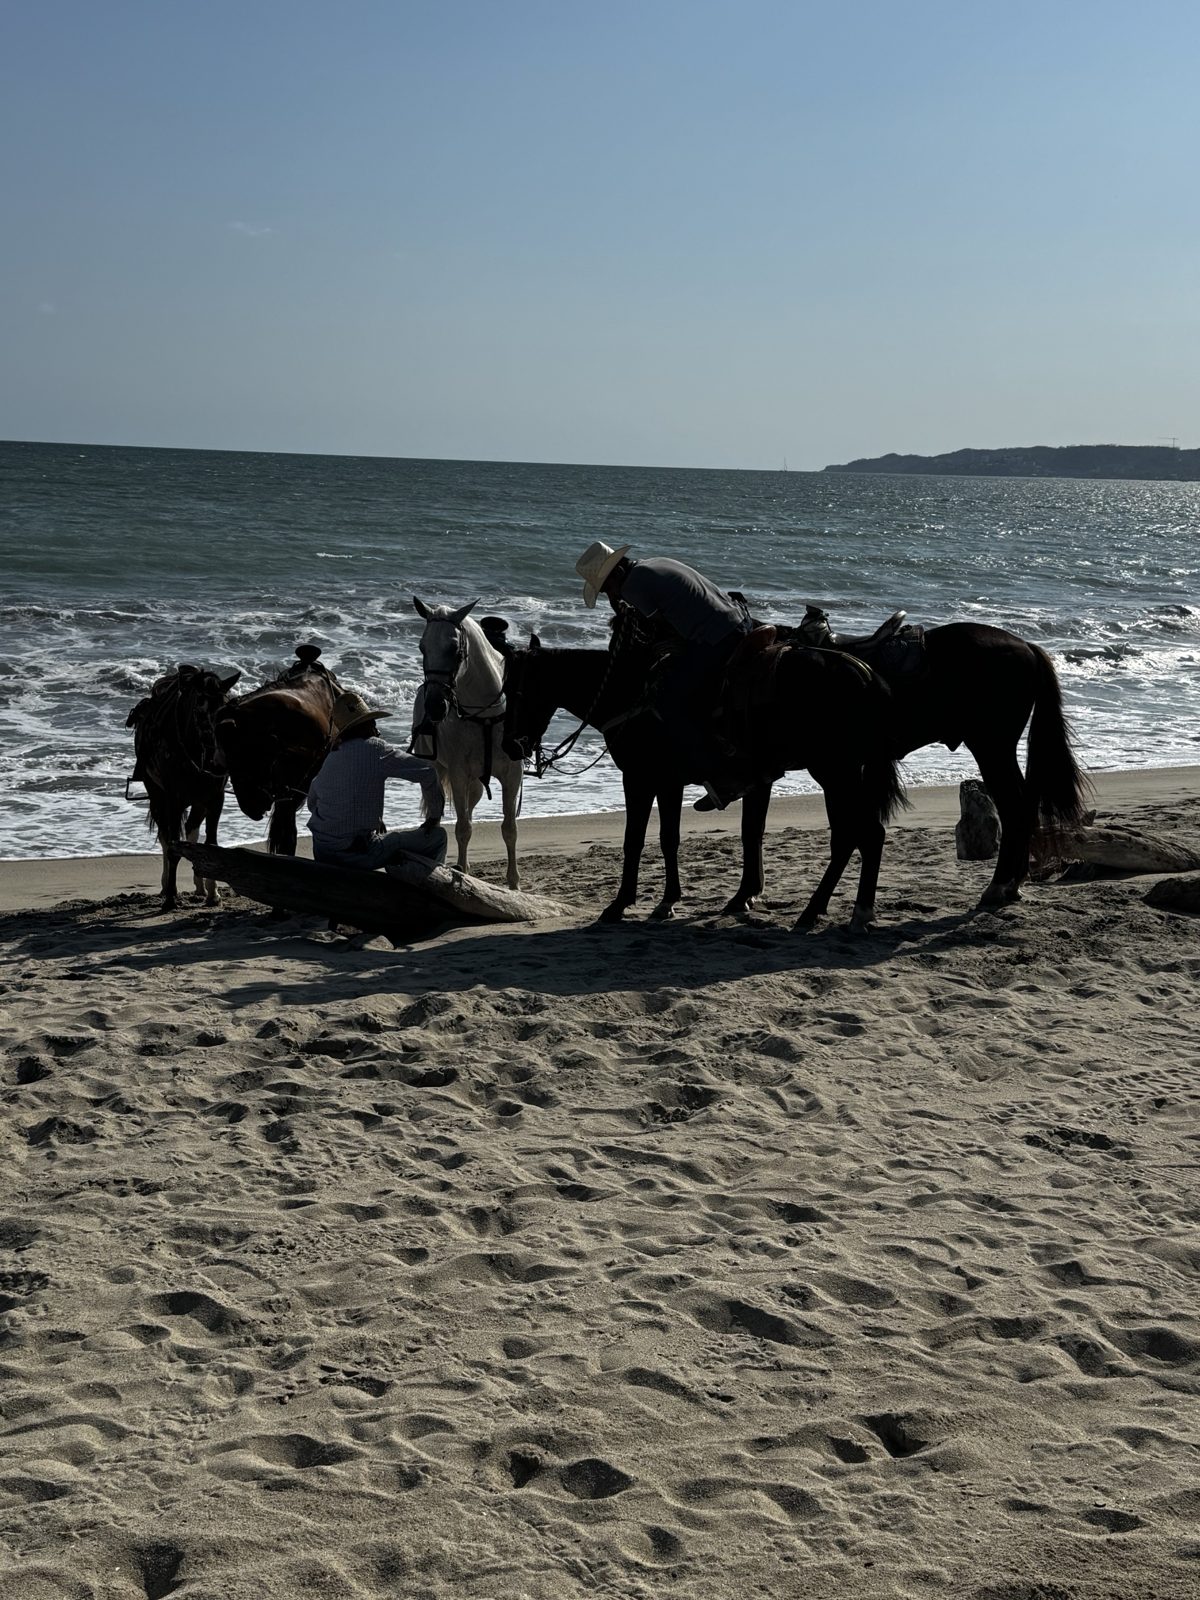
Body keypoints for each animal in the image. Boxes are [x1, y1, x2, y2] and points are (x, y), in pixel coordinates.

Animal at [126, 664, 241, 907]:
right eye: (199, 709)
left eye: (226, 707)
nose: (218, 762)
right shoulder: (173, 799)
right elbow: (172, 846)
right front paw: (170, 896)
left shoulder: (214, 798)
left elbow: (210, 844)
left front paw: (213, 893)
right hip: (158, 797)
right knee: (166, 838)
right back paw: (167, 886)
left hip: (198, 801)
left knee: (191, 832)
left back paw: (200, 886)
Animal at [413, 597, 523, 888]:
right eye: (422, 647)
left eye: (454, 648)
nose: (435, 706)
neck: (484, 716)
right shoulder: (458, 773)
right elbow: (462, 828)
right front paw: (460, 874)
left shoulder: (512, 774)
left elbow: (509, 828)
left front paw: (514, 883)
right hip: (438, 771)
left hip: (475, 783)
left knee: (470, 811)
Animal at [502, 621, 907, 930]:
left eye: (515, 689)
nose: (510, 747)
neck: (630, 692)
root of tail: (867, 675)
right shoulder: (668, 783)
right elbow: (672, 838)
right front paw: (668, 901)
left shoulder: (642, 779)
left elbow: (639, 840)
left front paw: (623, 905)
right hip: (843, 772)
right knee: (852, 836)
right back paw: (827, 911)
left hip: (834, 771)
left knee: (862, 834)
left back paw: (839, 912)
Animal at [780, 612, 1091, 905]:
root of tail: (1027, 646)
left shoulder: (830, 768)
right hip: (997, 749)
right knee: (1023, 804)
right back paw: (1013, 883)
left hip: (990, 746)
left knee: (1013, 806)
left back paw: (999, 885)